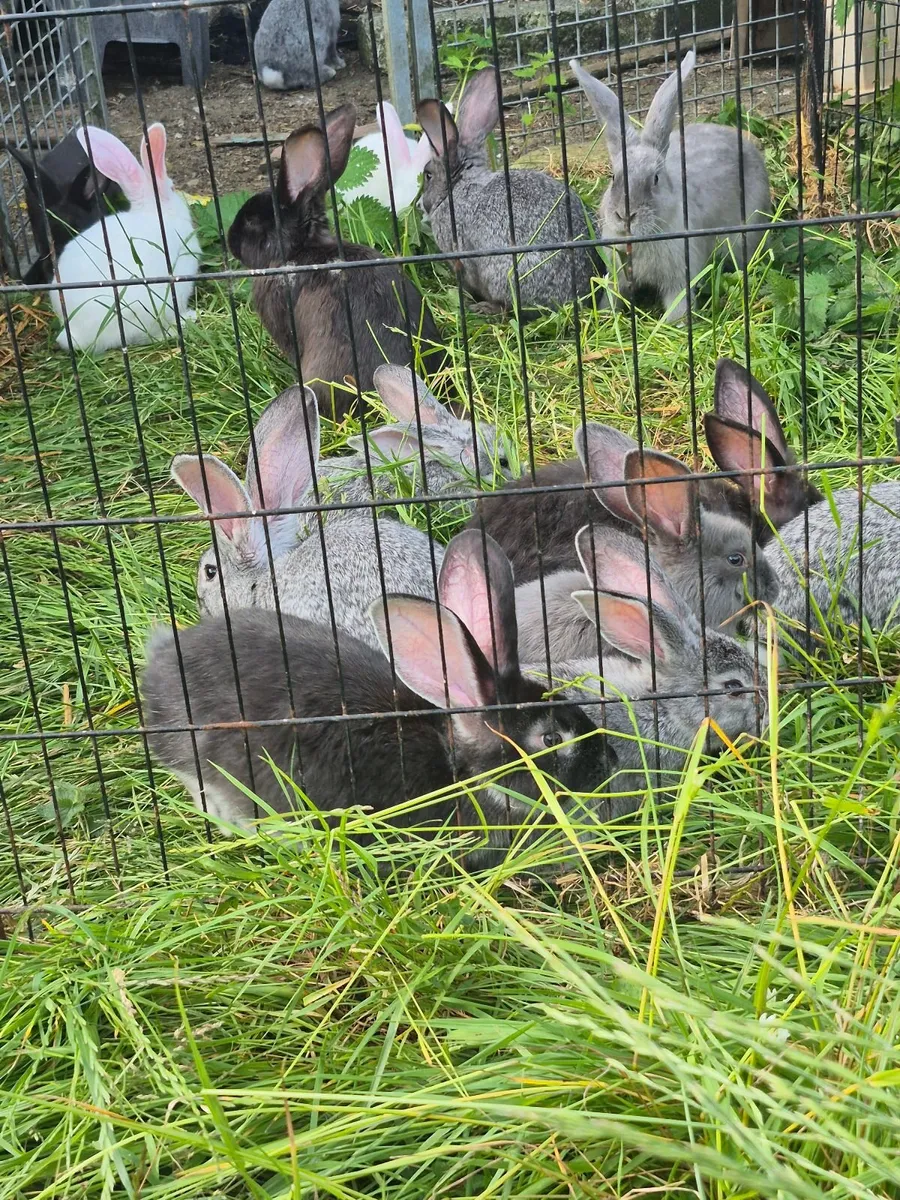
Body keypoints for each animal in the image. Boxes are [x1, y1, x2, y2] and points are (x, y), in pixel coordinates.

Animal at [571, 51, 771, 322]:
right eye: (613, 177)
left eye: (655, 179)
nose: (625, 216)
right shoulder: (616, 275)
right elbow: (612, 297)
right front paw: (605, 315)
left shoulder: (679, 278)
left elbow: (677, 304)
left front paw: (673, 323)